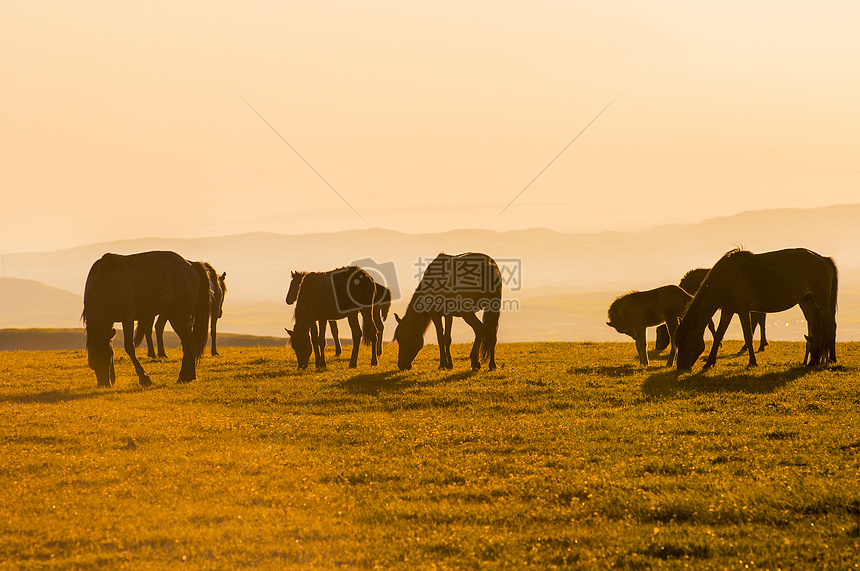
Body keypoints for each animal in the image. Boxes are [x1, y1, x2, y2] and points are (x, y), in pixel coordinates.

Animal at [82, 251, 212, 388]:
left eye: (109, 354)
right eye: (92, 362)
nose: (104, 384)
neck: (106, 282)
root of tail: (190, 264)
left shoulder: (127, 319)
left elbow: (129, 347)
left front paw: (144, 378)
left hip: (180, 315)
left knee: (188, 342)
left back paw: (185, 376)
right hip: (174, 315)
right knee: (187, 342)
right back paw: (187, 376)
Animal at [676, 248, 836, 374]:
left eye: (684, 341)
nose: (680, 367)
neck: (725, 279)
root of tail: (824, 259)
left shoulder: (743, 310)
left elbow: (748, 336)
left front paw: (752, 362)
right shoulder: (728, 310)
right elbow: (719, 335)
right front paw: (709, 363)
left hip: (820, 299)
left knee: (830, 325)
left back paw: (832, 359)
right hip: (806, 300)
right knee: (816, 327)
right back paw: (813, 361)